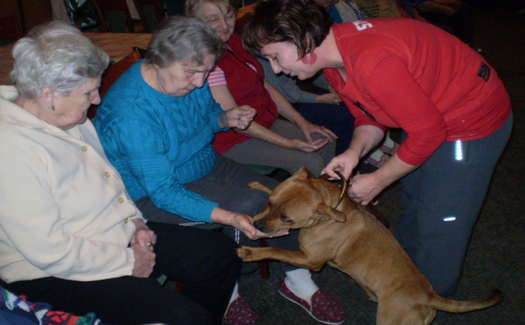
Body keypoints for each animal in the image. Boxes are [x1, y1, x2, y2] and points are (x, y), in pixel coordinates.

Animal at [236, 167, 500, 324]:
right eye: (270, 203)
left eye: (287, 219)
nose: (256, 225)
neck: (331, 211)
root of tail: (429, 296)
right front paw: (259, 187)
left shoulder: (310, 260)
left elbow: (276, 249)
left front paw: (251, 251)